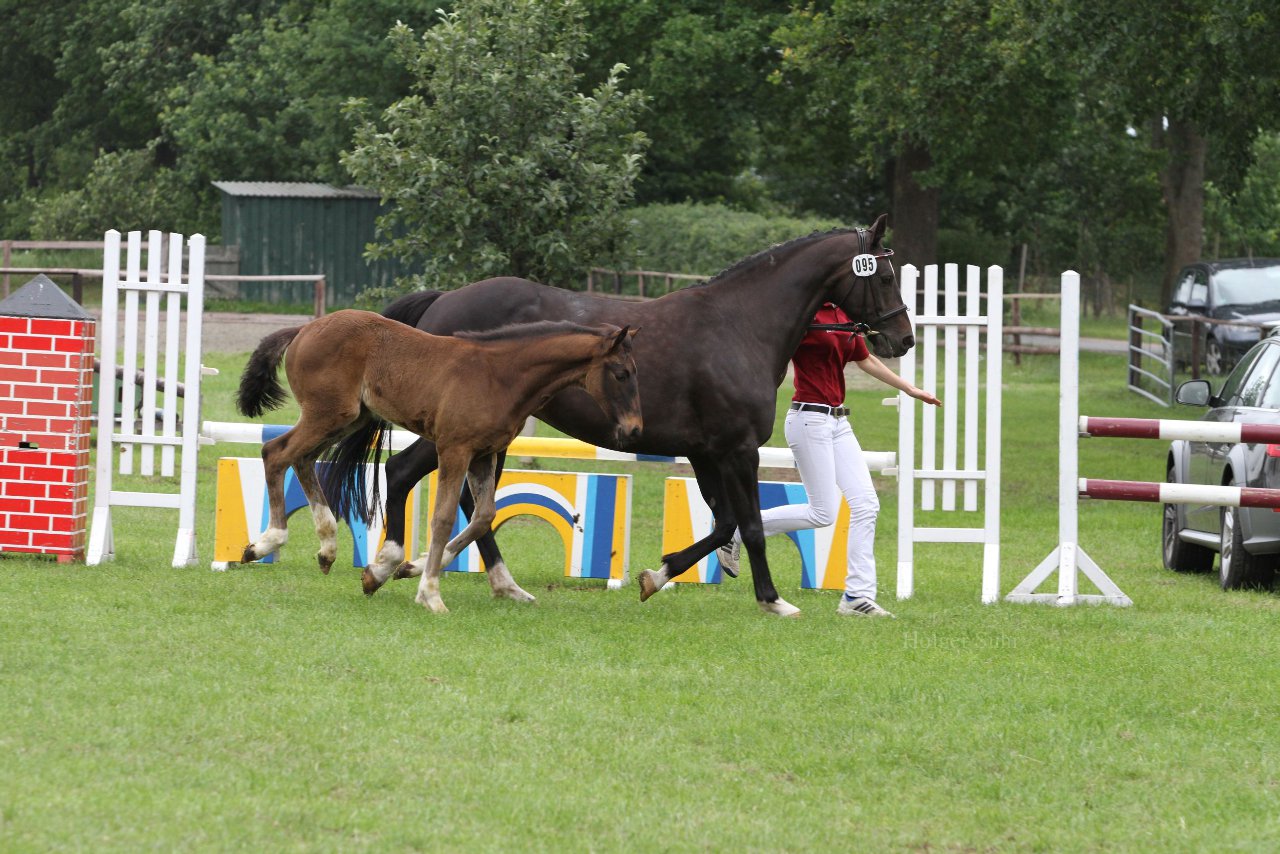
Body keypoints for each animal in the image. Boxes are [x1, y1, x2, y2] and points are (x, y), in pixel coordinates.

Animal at [234, 311, 640, 612]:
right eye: (621, 373)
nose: (634, 430)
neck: (500, 376)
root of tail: (304, 328)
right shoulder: (454, 449)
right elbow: (443, 518)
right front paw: (429, 593)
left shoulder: (484, 453)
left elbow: (483, 516)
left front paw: (399, 569)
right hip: (330, 413)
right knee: (276, 453)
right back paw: (266, 543)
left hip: (350, 418)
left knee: (301, 457)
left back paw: (326, 548)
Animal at [350, 213, 911, 614]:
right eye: (884, 275)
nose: (902, 338)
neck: (739, 326)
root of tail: (443, 302)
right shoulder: (738, 451)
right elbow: (749, 525)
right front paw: (772, 600)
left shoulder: (706, 453)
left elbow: (723, 524)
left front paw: (655, 577)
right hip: (459, 432)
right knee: (403, 473)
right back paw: (390, 565)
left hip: (488, 437)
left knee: (472, 503)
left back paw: (490, 583)